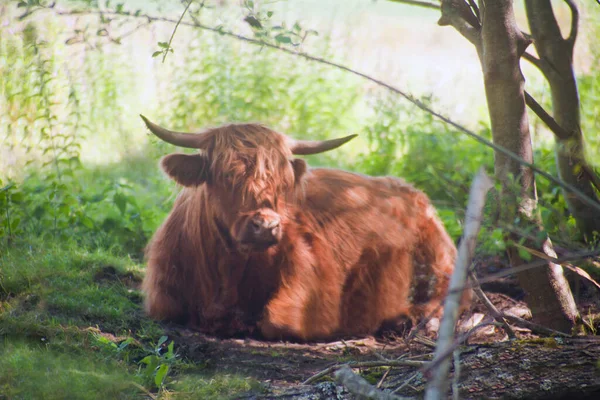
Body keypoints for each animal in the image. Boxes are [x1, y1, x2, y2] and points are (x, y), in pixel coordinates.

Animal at [141, 115, 464, 340]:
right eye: (225, 176)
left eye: (282, 182)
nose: (266, 226)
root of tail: (407, 188)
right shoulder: (161, 295)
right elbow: (166, 309)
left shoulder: (313, 287)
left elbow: (277, 322)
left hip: (439, 257)